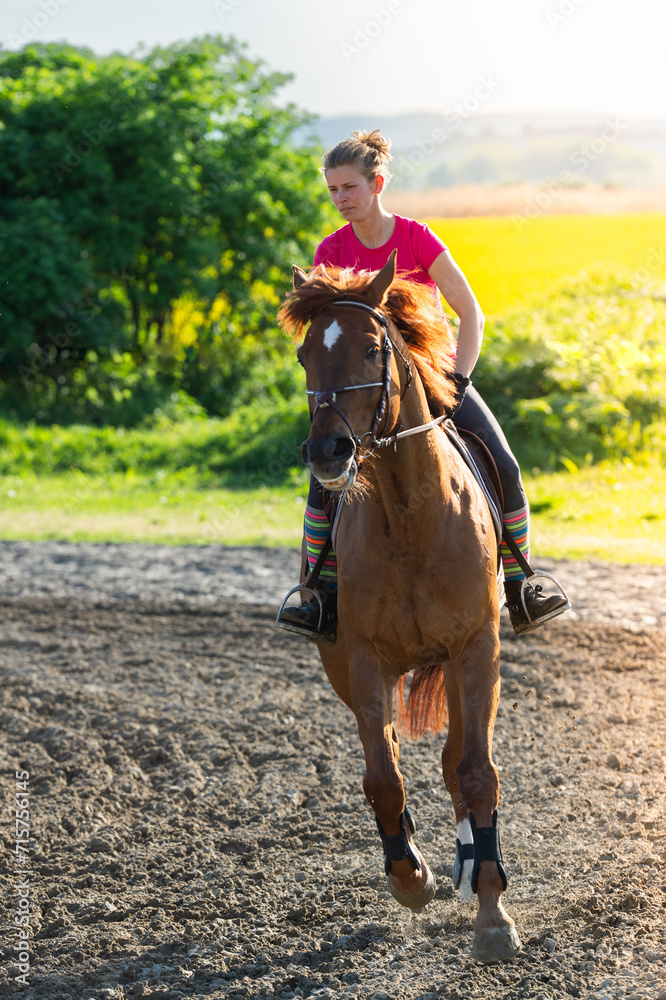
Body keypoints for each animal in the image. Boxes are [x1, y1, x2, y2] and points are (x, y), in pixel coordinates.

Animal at [277, 249, 521, 964]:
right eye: (304, 354)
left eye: (369, 347)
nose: (326, 451)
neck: (411, 514)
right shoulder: (360, 660)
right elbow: (383, 779)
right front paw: (409, 876)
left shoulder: (475, 649)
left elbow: (476, 774)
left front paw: (492, 915)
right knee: (395, 756)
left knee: (457, 764)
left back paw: (474, 869)